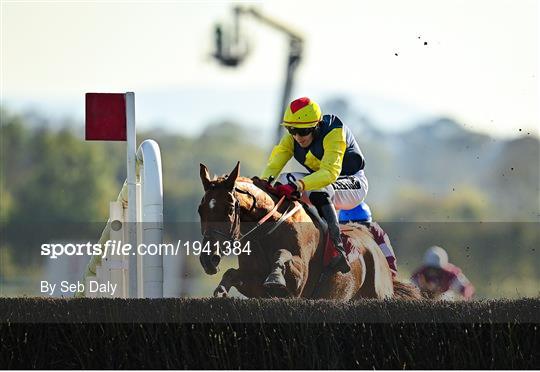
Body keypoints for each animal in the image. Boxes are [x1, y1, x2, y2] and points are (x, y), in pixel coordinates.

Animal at [196, 162, 420, 300]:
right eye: (200, 210)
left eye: (230, 209)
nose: (208, 259)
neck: (266, 233)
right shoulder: (255, 286)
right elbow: (232, 273)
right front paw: (221, 290)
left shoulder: (297, 283)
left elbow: (283, 255)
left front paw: (275, 276)